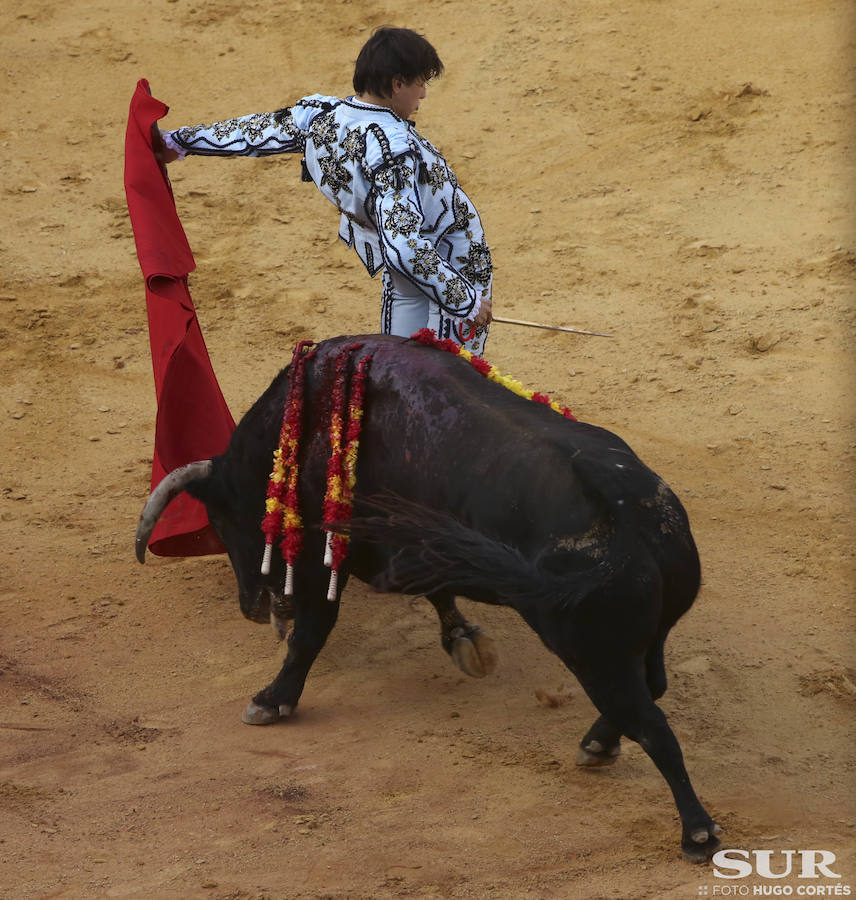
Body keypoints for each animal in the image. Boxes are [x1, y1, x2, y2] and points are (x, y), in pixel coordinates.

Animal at [135, 334, 724, 860]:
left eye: (222, 519)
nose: (253, 608)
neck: (304, 426)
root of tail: (638, 520)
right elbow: (436, 593)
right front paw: (464, 640)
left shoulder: (329, 558)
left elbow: (311, 633)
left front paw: (271, 699)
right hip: (643, 636)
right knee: (652, 688)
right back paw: (598, 745)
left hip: (591, 651)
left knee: (650, 722)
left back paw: (696, 832)